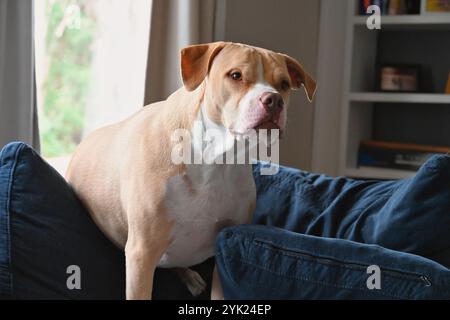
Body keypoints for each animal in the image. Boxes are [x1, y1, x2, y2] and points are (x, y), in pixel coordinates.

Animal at [66, 41, 316, 298]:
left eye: (284, 84)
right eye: (236, 75)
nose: (274, 100)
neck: (217, 159)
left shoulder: (225, 251)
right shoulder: (142, 251)